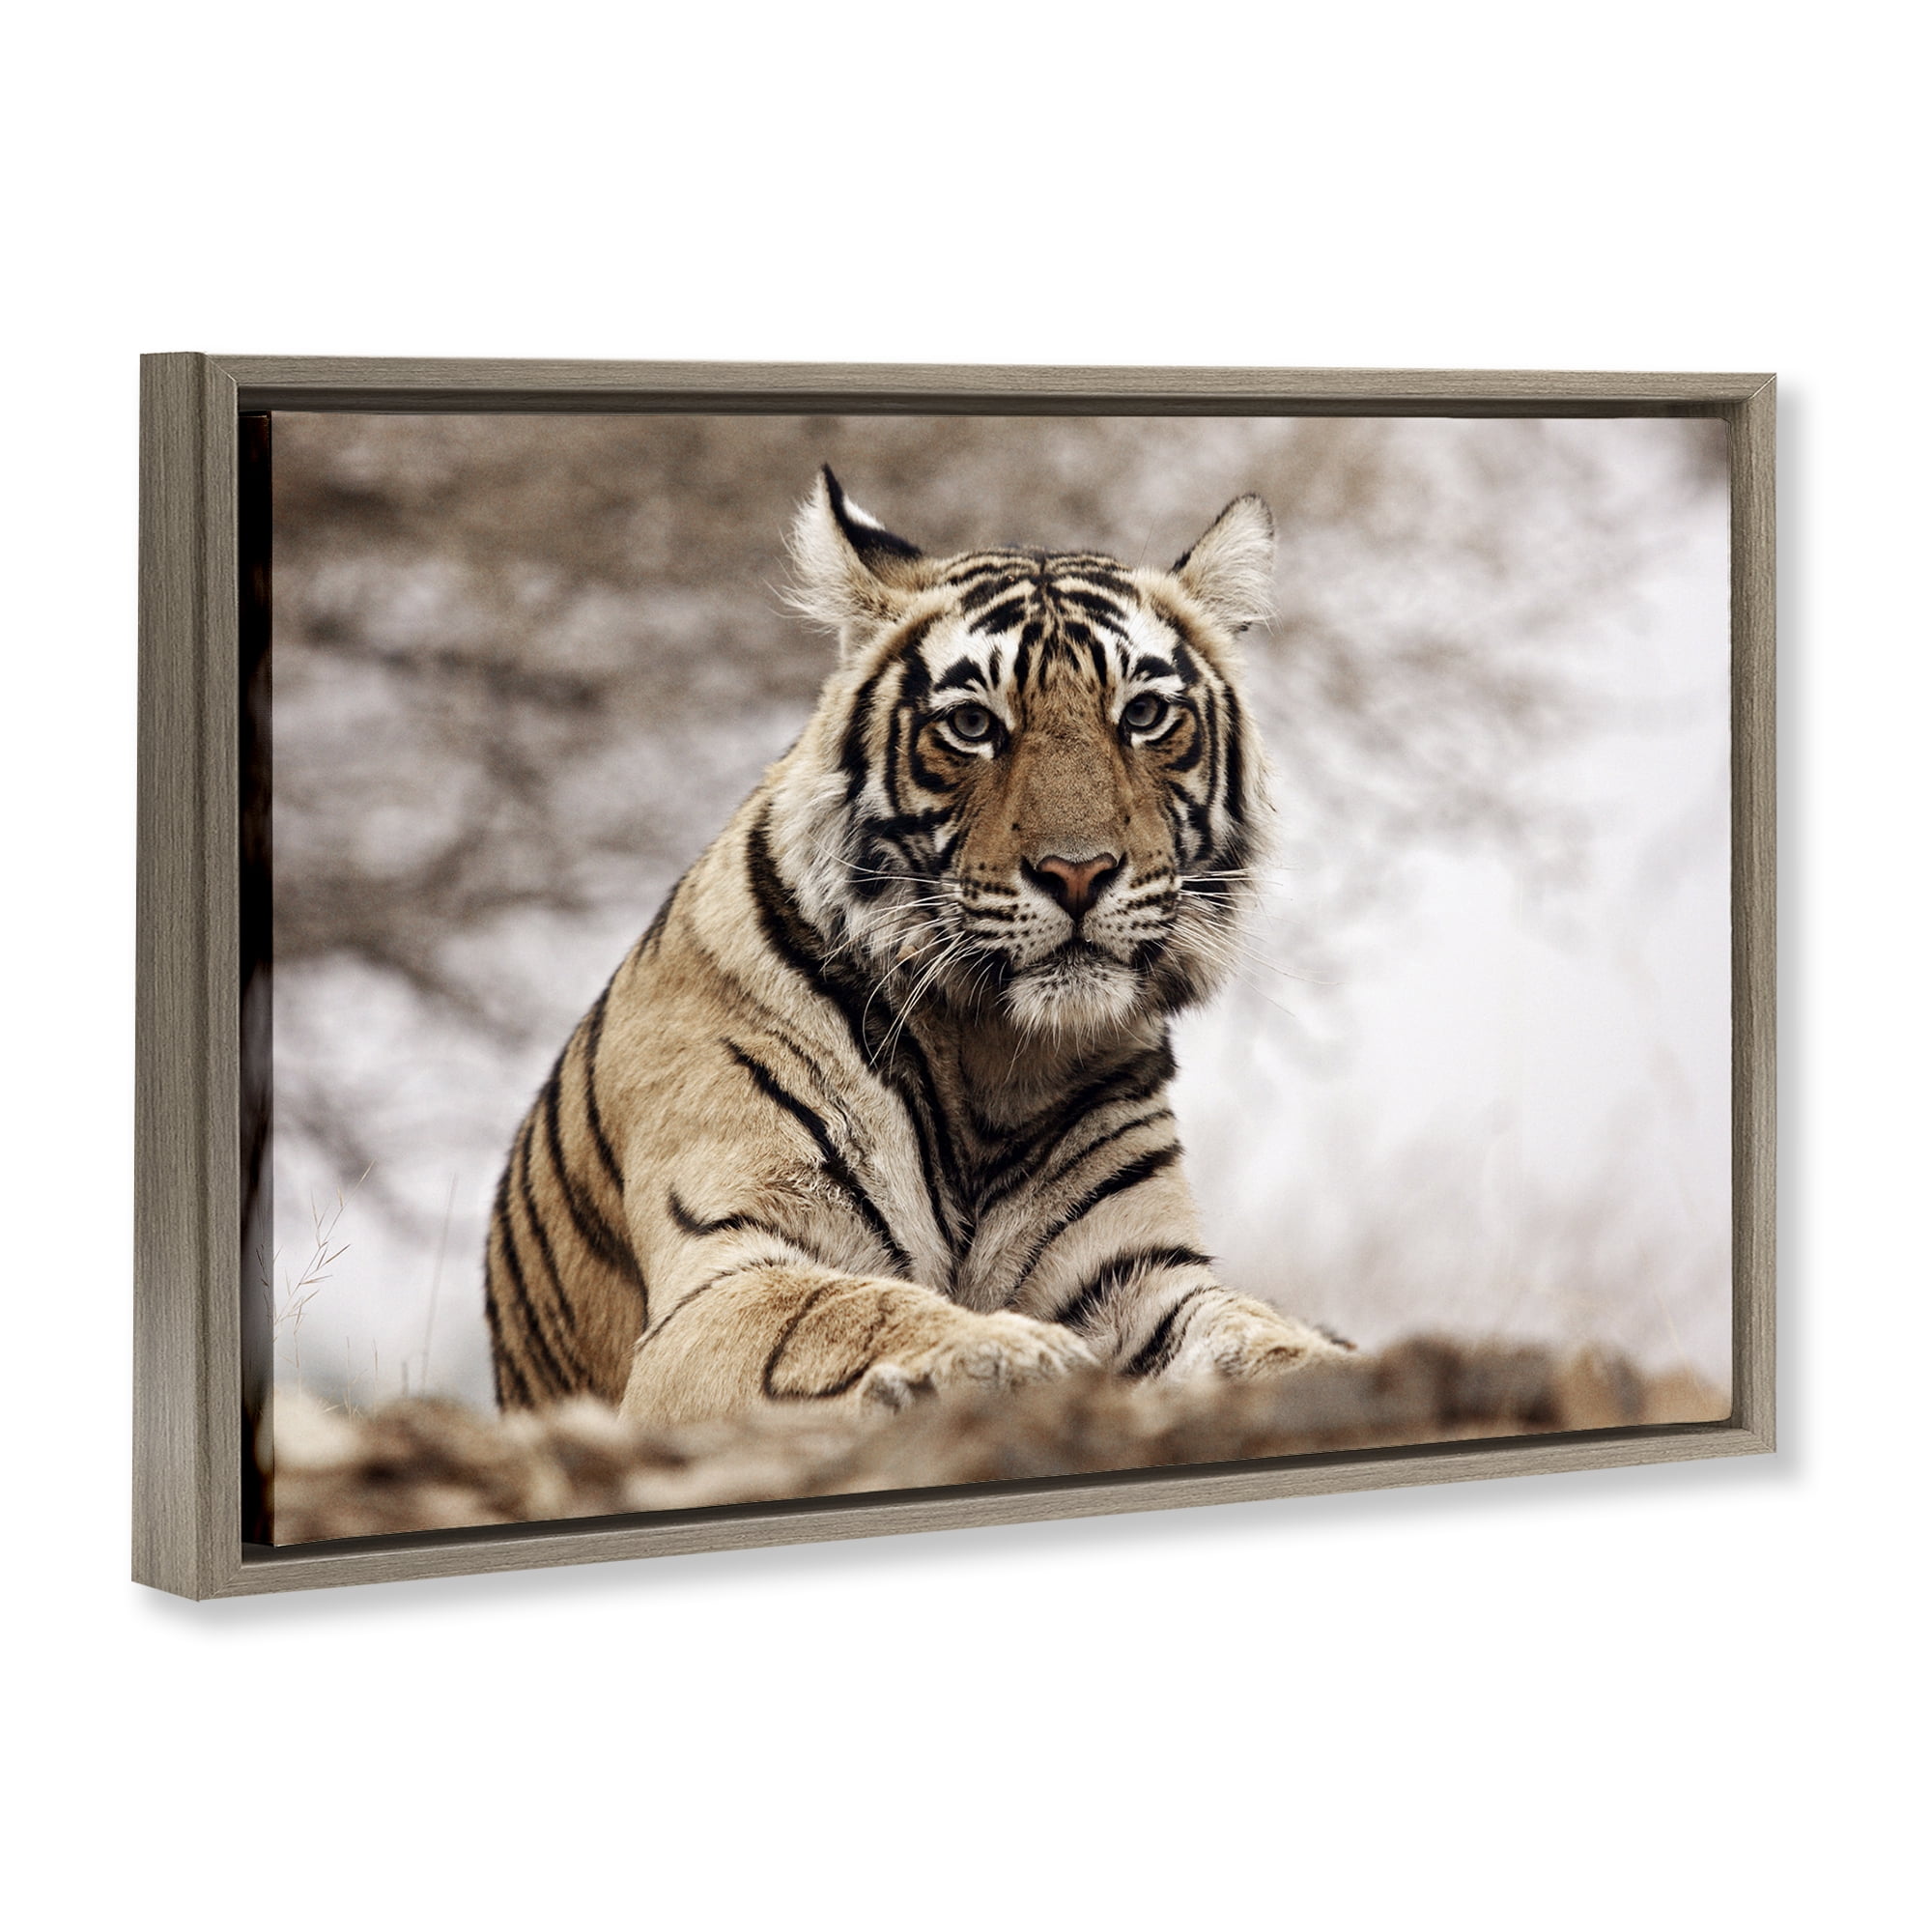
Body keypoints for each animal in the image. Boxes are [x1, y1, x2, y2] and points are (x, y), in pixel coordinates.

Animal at [484, 468, 1347, 1430]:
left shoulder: (1138, 1274)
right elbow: (850, 1311)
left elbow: (1253, 1332)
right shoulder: (723, 1276)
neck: (995, 1057)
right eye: (972, 725)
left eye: (1146, 715)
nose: (1078, 872)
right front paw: (1009, 1352)